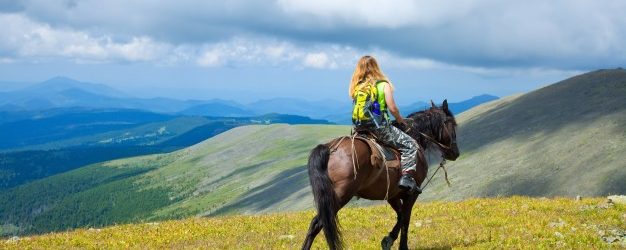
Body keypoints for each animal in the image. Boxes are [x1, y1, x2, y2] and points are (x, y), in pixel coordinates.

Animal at [300, 99, 456, 250]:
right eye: (453, 125)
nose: (455, 153)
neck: (415, 138)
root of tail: (330, 148)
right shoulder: (411, 193)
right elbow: (405, 218)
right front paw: (398, 244)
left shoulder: (393, 195)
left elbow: (400, 215)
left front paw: (388, 240)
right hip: (340, 195)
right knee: (318, 222)